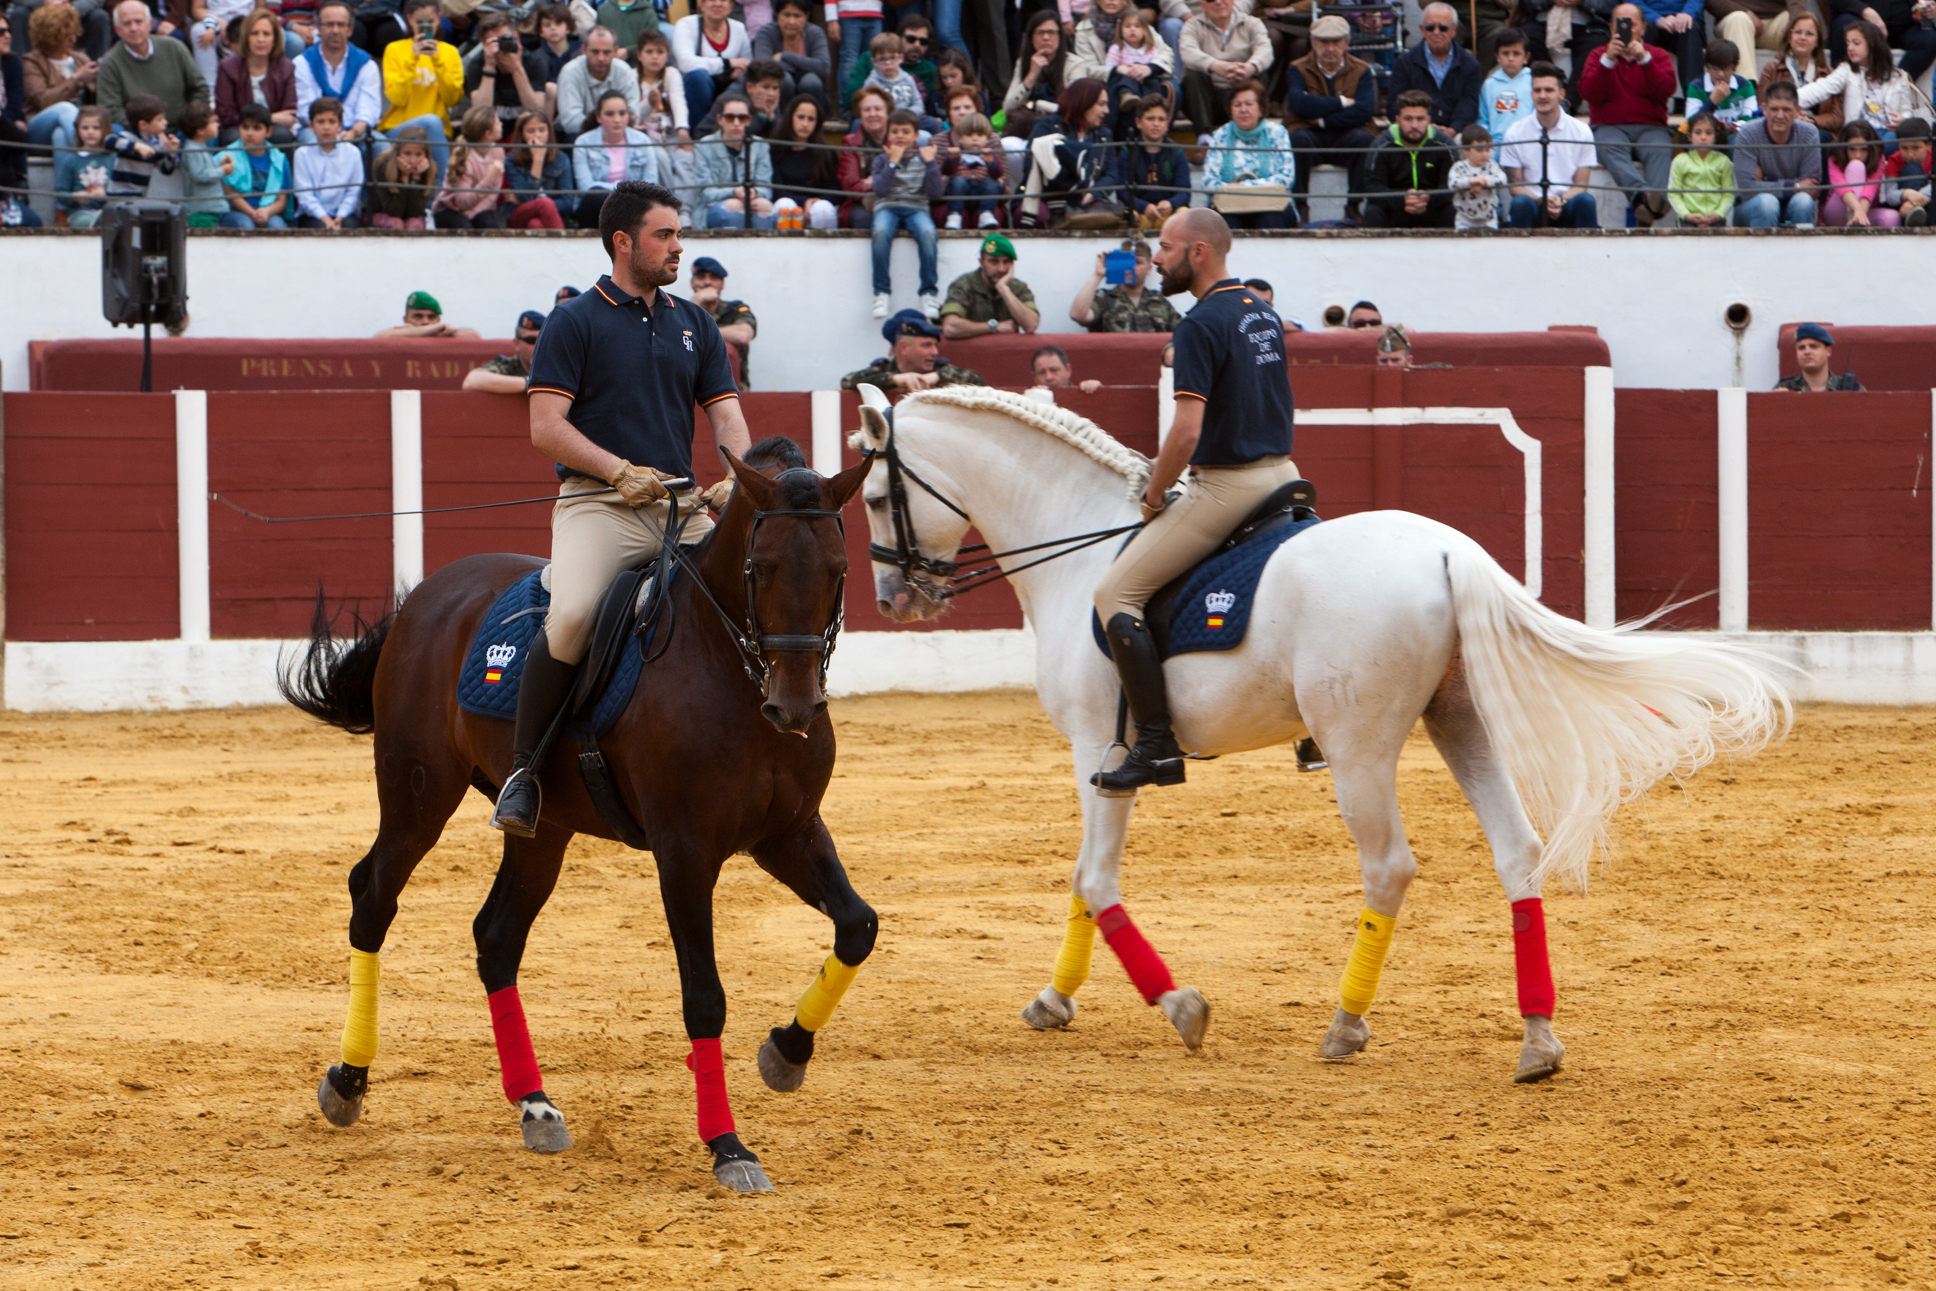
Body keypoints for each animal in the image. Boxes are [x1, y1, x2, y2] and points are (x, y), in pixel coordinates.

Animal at [278, 439, 873, 1192]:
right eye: (758, 568)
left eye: (838, 570)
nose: (794, 707)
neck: (730, 673)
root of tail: (433, 593)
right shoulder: (684, 851)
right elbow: (704, 995)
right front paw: (729, 1146)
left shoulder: (788, 833)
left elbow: (858, 926)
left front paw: (786, 1053)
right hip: (417, 794)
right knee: (373, 896)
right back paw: (348, 1080)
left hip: (545, 827)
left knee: (497, 935)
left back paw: (534, 1104)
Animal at [850, 386, 1789, 1081]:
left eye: (874, 496)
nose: (896, 598)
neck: (1078, 547)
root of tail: (1446, 552)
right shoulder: (1096, 758)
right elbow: (1085, 880)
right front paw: (1055, 1000)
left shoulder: (1099, 751)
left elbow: (1094, 876)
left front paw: (1179, 1006)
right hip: (1459, 721)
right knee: (1517, 850)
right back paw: (1537, 1038)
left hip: (1358, 748)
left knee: (1389, 865)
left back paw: (1346, 1022)